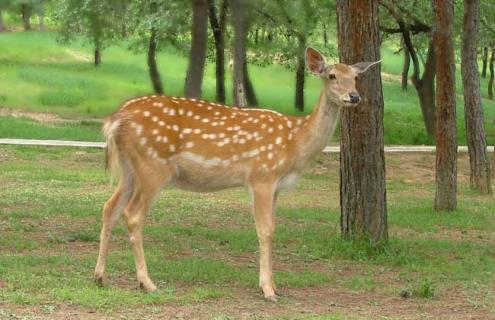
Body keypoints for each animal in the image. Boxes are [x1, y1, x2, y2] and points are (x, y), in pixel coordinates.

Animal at [96, 47, 380, 300]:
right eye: (331, 75)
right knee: (132, 214)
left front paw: (274, 286)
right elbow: (266, 230)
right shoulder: (262, 175)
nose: (354, 96)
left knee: (109, 207)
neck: (295, 143)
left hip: (130, 168)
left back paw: (100, 277)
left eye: (355, 77)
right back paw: (147, 283)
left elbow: (271, 228)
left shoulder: (275, 186)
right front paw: (267, 290)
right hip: (152, 165)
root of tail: (115, 118)